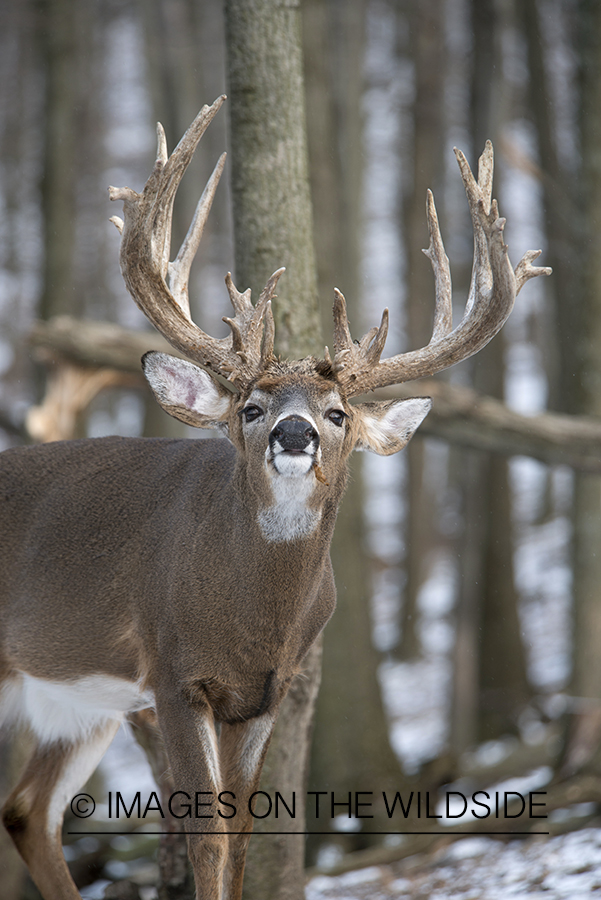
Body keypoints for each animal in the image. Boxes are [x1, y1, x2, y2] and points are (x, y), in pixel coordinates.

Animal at [0, 93, 552, 900]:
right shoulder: (173, 674)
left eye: (339, 412)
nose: (295, 433)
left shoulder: (264, 693)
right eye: (251, 407)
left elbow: (240, 837)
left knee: (27, 810)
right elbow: (203, 837)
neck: (251, 618)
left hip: (75, 700)